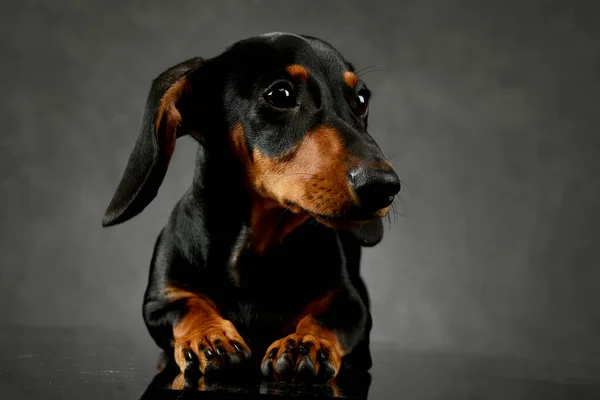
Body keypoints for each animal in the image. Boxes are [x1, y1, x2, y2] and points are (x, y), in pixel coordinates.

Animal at [102, 32, 400, 382]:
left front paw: (305, 342)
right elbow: (187, 306)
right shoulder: (159, 301)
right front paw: (210, 336)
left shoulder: (352, 305)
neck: (253, 253)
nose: (383, 186)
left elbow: (327, 318)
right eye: (280, 94)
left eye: (362, 99)